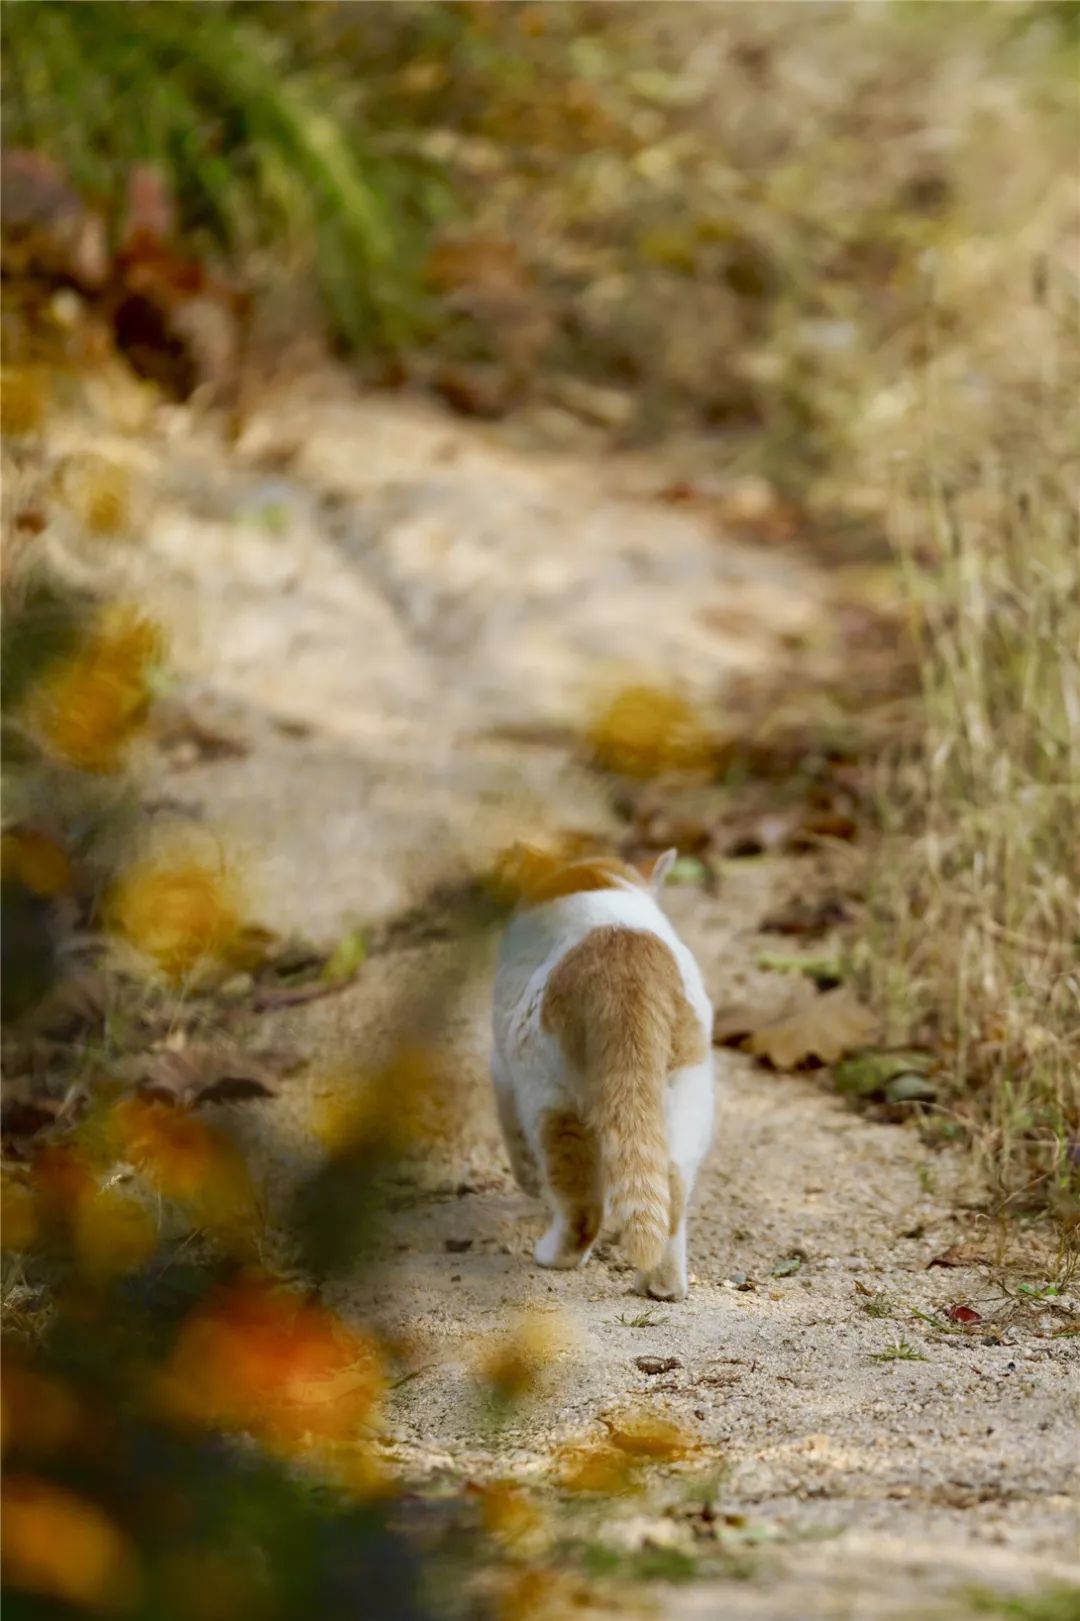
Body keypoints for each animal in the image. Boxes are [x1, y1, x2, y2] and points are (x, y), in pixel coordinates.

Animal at [489, 849, 710, 1303]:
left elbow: (513, 1139)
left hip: (549, 1098)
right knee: (671, 1187)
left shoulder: (500, 1062)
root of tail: (626, 964)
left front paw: (529, 1184)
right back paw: (662, 1286)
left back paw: (553, 1256)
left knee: (580, 1204)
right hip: (688, 1096)